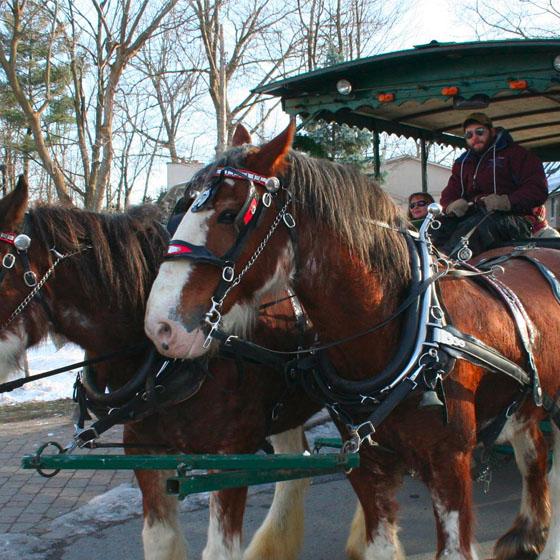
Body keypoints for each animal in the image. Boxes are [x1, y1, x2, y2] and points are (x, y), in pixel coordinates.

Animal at [145, 121, 560, 560]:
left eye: (229, 214)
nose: (161, 327)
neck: (404, 332)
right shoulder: (367, 465)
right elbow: (379, 545)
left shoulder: (451, 466)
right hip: (527, 401)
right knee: (535, 452)